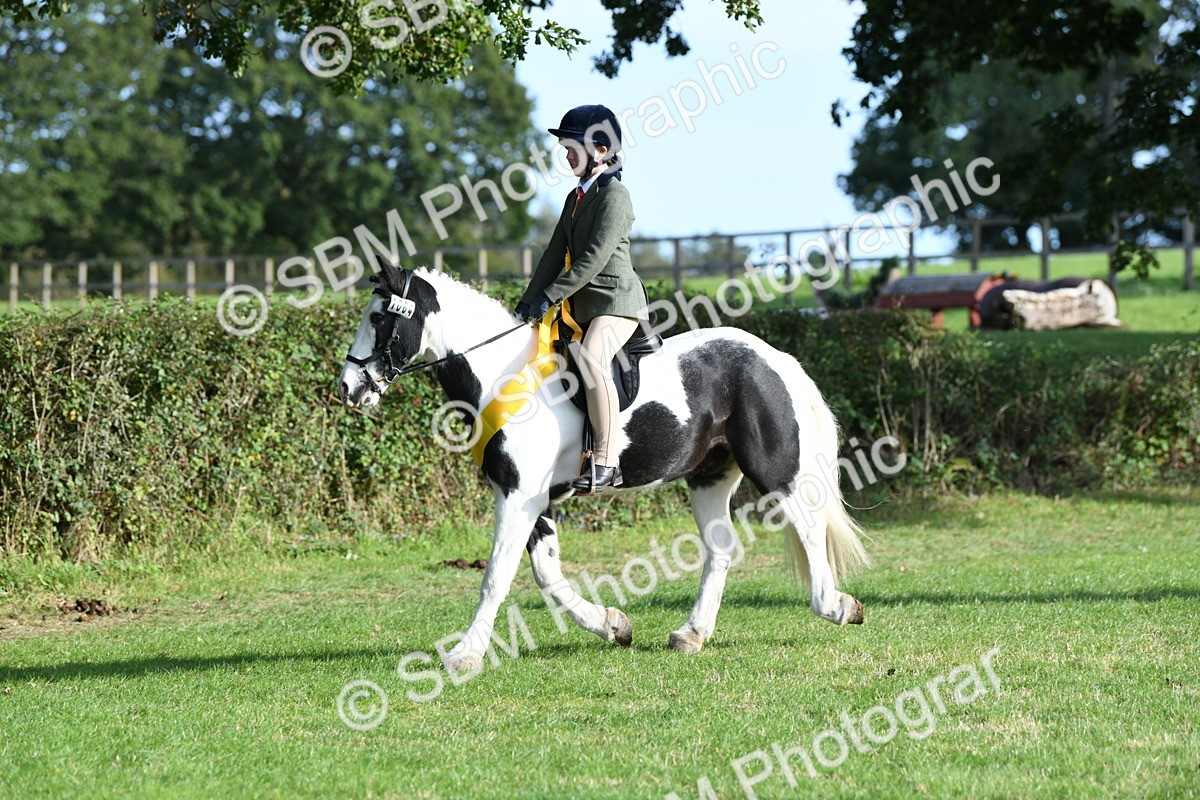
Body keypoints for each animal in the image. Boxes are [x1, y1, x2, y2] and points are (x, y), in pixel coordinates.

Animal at [337, 262, 869, 674]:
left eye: (378, 317)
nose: (348, 388)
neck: (502, 377)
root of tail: (772, 356)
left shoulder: (518, 496)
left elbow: (496, 577)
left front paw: (465, 655)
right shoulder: (532, 499)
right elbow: (547, 576)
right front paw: (612, 625)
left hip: (774, 471)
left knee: (809, 527)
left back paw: (837, 606)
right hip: (709, 477)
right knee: (720, 549)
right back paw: (691, 633)